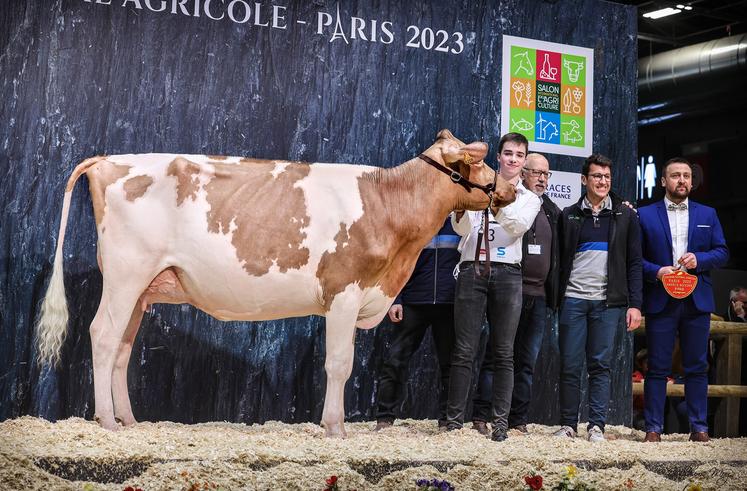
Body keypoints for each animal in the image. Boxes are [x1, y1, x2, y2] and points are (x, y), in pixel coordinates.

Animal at [35, 129, 516, 436]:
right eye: (476, 160)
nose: (510, 188)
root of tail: (110, 159)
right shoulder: (344, 292)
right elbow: (338, 364)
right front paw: (335, 429)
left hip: (141, 288)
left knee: (121, 348)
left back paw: (130, 420)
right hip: (126, 274)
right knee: (102, 335)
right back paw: (106, 420)